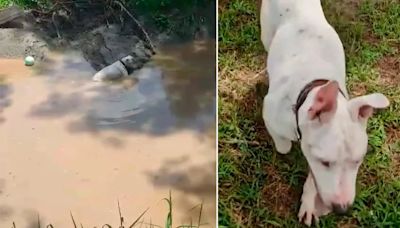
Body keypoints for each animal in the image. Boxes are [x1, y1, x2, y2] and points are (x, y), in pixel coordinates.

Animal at [260, 0, 390, 225]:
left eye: (358, 161)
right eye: (325, 162)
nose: (342, 209)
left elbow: (313, 176)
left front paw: (309, 202)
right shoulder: (270, 113)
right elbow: (284, 147)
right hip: (266, 33)